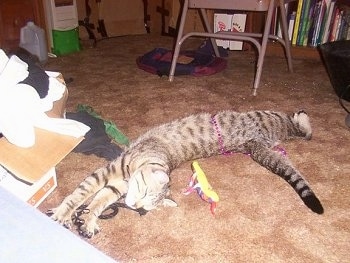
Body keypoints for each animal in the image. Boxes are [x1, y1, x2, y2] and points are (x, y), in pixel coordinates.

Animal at [47, 110, 324, 238]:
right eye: (144, 192)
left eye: (146, 206)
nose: (136, 206)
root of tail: (252, 144)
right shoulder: (112, 175)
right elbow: (82, 196)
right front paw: (66, 214)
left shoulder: (117, 182)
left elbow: (96, 200)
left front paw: (85, 218)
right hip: (269, 121)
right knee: (298, 130)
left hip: (271, 122)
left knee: (300, 130)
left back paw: (302, 117)